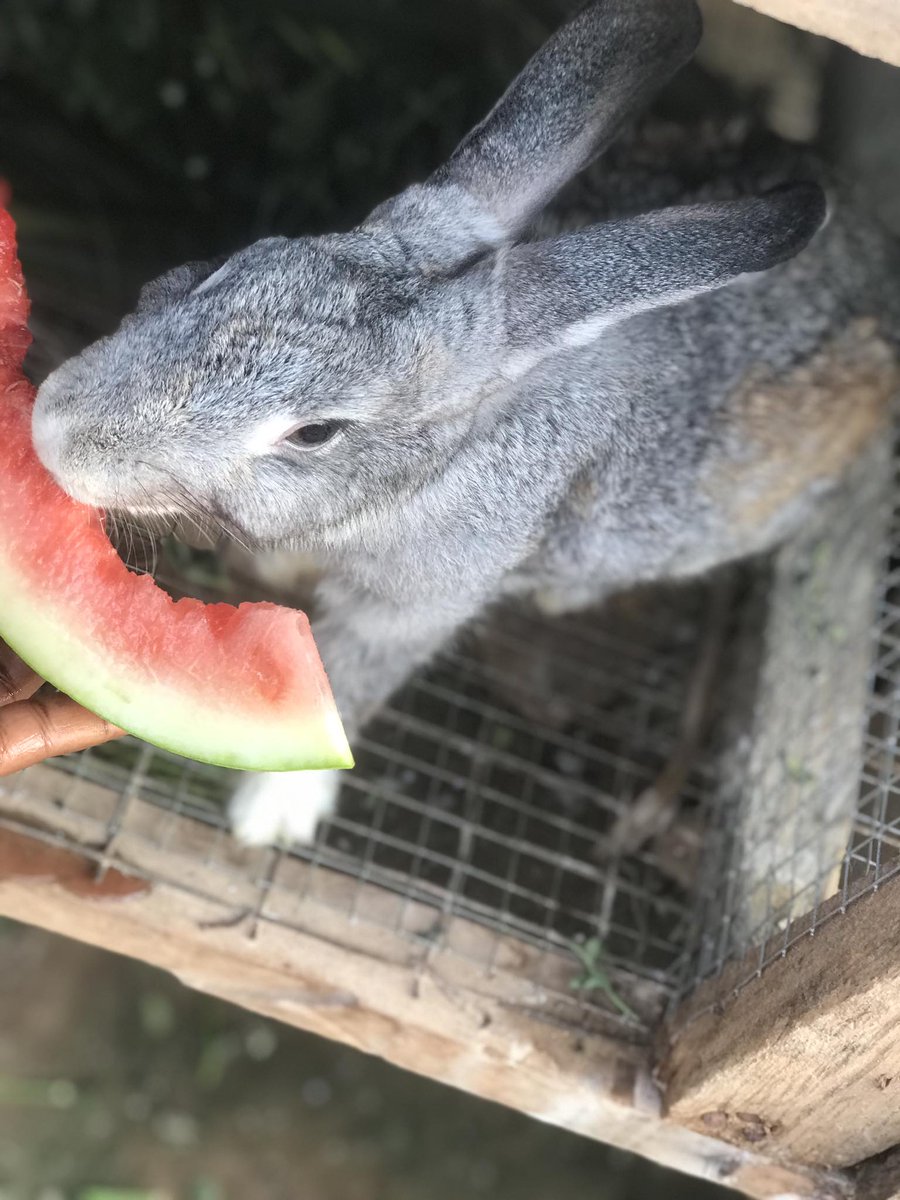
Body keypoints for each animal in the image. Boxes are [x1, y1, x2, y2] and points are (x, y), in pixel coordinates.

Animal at [30, 0, 900, 847]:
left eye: (315, 432)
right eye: (229, 268)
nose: (53, 431)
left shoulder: (416, 608)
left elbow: (351, 678)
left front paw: (271, 815)